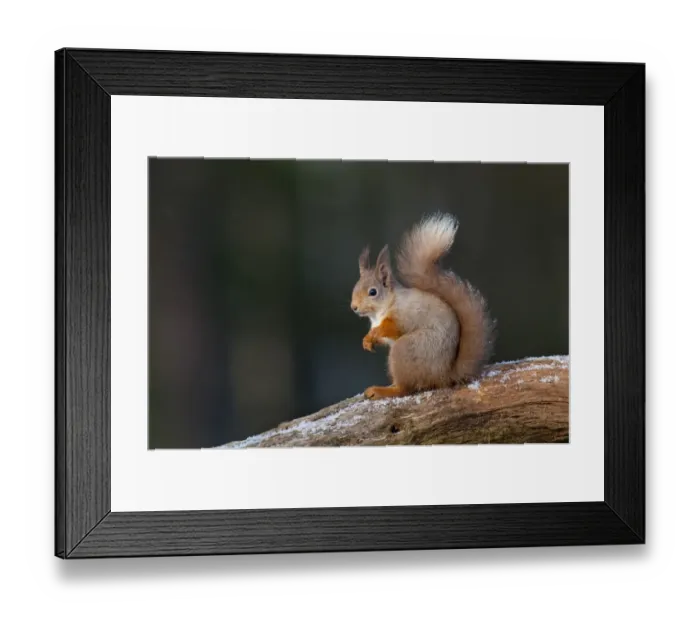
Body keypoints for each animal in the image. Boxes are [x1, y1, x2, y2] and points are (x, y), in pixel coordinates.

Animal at [351, 212, 495, 400]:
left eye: (373, 292)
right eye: (355, 287)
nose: (354, 307)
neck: (381, 310)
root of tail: (444, 375)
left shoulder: (404, 314)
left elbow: (394, 327)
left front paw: (376, 333)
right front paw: (367, 340)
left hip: (406, 350)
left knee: (405, 388)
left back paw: (382, 390)